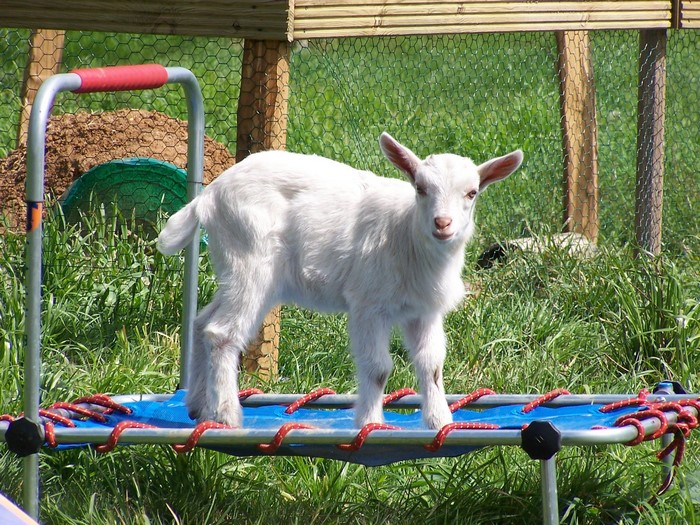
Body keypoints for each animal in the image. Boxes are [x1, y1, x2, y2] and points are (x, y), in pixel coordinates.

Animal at [157, 133, 523, 429]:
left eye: (472, 193)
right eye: (420, 188)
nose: (442, 223)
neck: (405, 234)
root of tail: (210, 195)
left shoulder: (424, 311)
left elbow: (431, 365)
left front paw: (439, 421)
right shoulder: (368, 304)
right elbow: (378, 367)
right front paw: (371, 423)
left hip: (237, 270)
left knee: (203, 322)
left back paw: (197, 407)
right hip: (249, 259)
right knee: (221, 333)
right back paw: (227, 415)